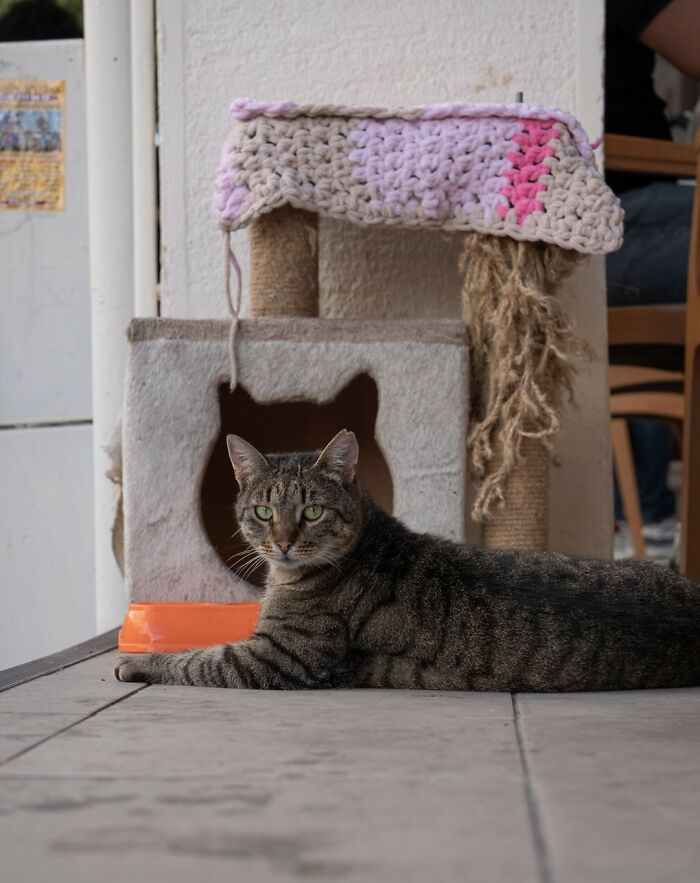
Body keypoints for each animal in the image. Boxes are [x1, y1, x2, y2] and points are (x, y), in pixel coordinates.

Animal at [115, 432, 700, 696]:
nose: (281, 542)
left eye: (311, 511)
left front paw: (140, 663)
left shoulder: (277, 658)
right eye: (263, 511)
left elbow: (198, 660)